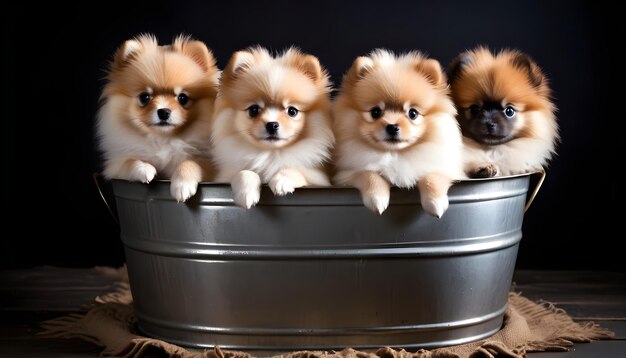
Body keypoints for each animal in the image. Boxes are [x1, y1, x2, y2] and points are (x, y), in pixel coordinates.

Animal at [94, 34, 218, 201]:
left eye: (183, 98)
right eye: (145, 97)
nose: (163, 111)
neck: (164, 140)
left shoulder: (211, 165)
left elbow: (191, 162)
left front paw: (182, 184)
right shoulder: (114, 166)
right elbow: (129, 161)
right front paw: (144, 169)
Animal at [211, 46, 336, 208]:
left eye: (292, 111)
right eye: (253, 110)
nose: (272, 124)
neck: (271, 154)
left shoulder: (318, 178)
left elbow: (297, 170)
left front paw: (282, 180)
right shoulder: (226, 174)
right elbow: (243, 172)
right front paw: (246, 192)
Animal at [332, 49, 464, 217]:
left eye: (413, 113)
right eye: (375, 112)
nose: (392, 126)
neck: (395, 155)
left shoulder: (445, 168)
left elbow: (433, 176)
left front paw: (436, 202)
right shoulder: (346, 174)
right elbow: (369, 174)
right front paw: (377, 198)